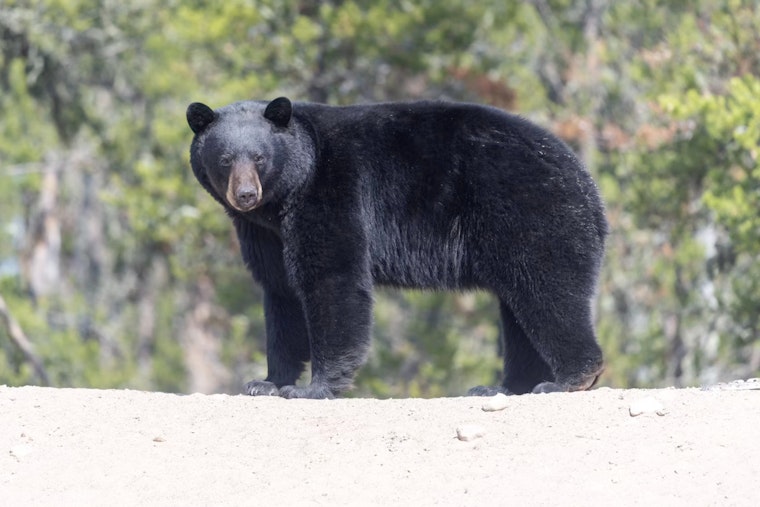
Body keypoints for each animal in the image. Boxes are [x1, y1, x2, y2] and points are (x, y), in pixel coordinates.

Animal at [186, 96, 607, 399]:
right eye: (225, 159)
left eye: (260, 157)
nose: (245, 194)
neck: (286, 195)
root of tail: (589, 187)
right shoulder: (264, 234)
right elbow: (281, 294)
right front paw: (266, 382)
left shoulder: (333, 193)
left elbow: (332, 277)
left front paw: (312, 388)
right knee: (519, 311)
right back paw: (502, 387)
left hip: (530, 214)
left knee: (548, 292)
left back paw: (567, 379)